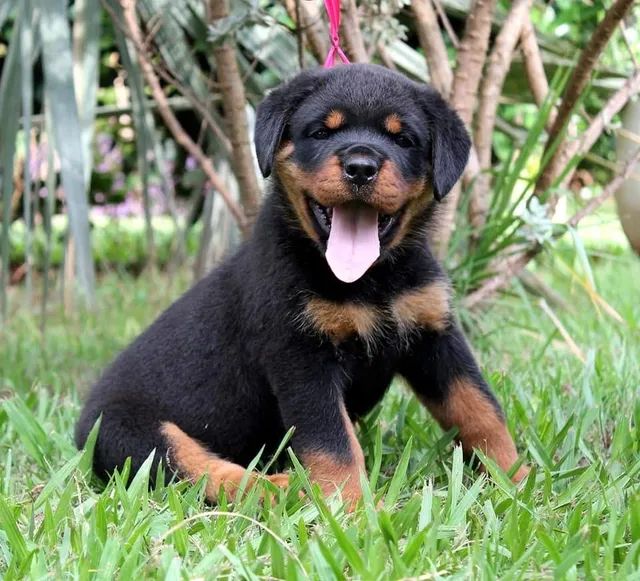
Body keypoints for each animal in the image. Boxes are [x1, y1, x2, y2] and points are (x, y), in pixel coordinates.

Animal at [76, 63, 524, 506]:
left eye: (403, 139)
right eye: (322, 132)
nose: (361, 167)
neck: (370, 279)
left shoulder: (434, 334)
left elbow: (480, 409)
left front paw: (518, 481)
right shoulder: (301, 357)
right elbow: (334, 443)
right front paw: (354, 508)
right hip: (128, 431)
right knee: (200, 470)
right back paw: (279, 488)